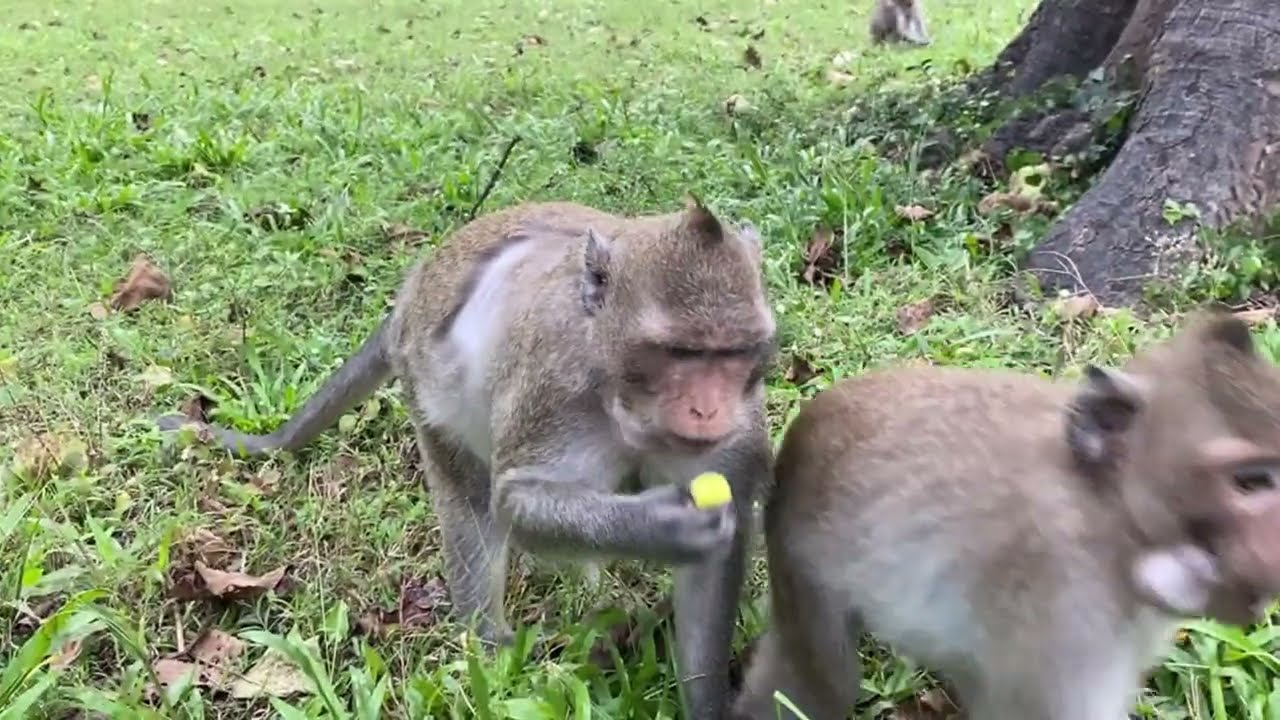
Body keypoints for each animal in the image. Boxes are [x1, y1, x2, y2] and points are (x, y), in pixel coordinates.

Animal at [156, 198, 777, 719]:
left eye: (734, 353)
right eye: (681, 353)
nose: (707, 409)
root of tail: (410, 295)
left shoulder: (738, 433)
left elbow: (715, 560)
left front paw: (709, 702)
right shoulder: (554, 389)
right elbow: (515, 503)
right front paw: (665, 524)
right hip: (427, 390)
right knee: (470, 498)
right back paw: (492, 645)